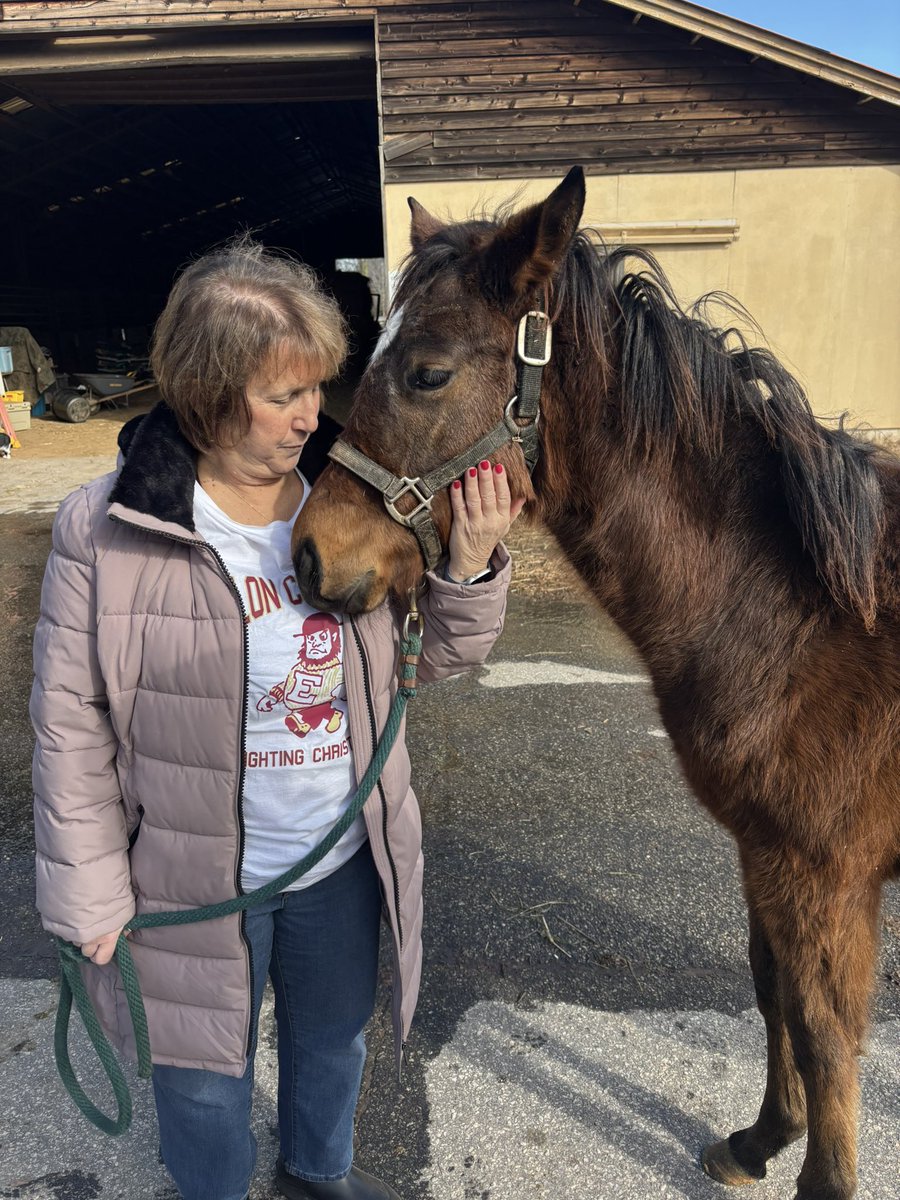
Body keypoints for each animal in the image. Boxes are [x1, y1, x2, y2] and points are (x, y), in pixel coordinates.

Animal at [293, 166, 900, 1200]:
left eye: (428, 373)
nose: (309, 555)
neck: (811, 617)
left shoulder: (826, 870)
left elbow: (826, 1036)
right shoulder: (766, 853)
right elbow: (769, 985)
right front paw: (760, 1140)